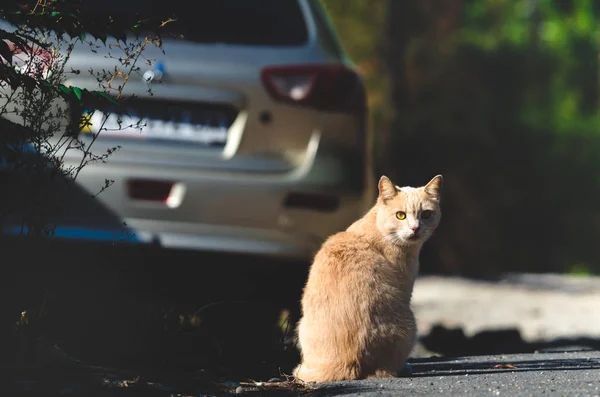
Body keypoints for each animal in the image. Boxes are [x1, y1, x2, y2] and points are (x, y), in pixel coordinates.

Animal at [292, 173, 442, 380]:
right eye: (400, 215)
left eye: (426, 214)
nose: (415, 228)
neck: (378, 227)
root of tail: (348, 362)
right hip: (411, 324)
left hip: (301, 327)